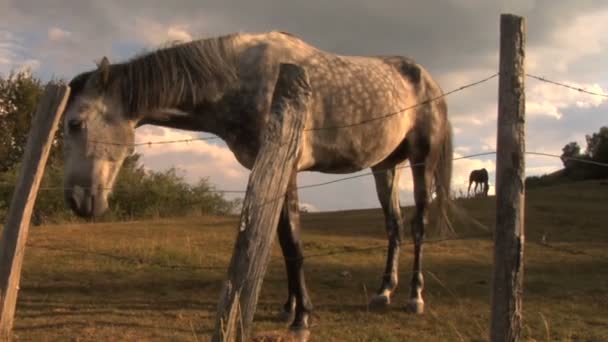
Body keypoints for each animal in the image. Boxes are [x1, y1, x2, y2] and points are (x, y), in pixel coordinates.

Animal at [63, 31, 452, 334]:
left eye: (75, 123)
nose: (76, 201)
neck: (241, 79)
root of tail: (428, 79)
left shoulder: (287, 168)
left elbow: (293, 242)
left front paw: (302, 317)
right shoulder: (271, 171)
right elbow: (279, 240)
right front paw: (289, 307)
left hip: (422, 160)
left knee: (418, 225)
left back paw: (414, 297)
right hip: (384, 167)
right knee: (393, 227)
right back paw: (384, 292)